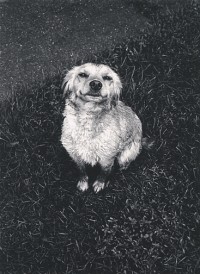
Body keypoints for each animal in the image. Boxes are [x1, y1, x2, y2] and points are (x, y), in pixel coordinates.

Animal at [60, 63, 142, 194]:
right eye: (82, 74)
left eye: (107, 77)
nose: (96, 84)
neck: (88, 117)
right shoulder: (74, 154)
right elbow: (81, 170)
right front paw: (83, 183)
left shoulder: (107, 158)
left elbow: (104, 173)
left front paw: (100, 184)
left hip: (125, 155)